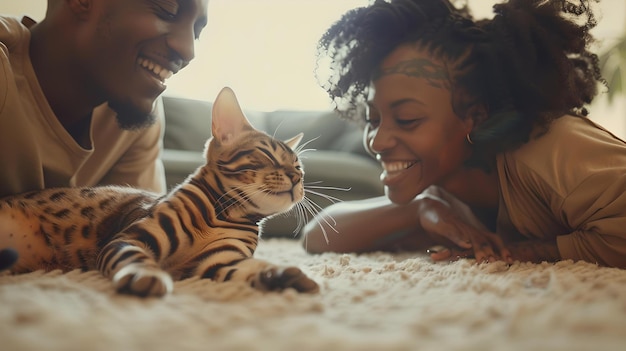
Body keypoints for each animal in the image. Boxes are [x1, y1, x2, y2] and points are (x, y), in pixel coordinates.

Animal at [0, 87, 320, 296]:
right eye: (266, 154)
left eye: (299, 167)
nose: (297, 178)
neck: (225, 215)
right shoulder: (130, 239)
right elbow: (134, 258)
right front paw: (146, 274)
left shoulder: (216, 261)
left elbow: (248, 268)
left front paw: (282, 276)